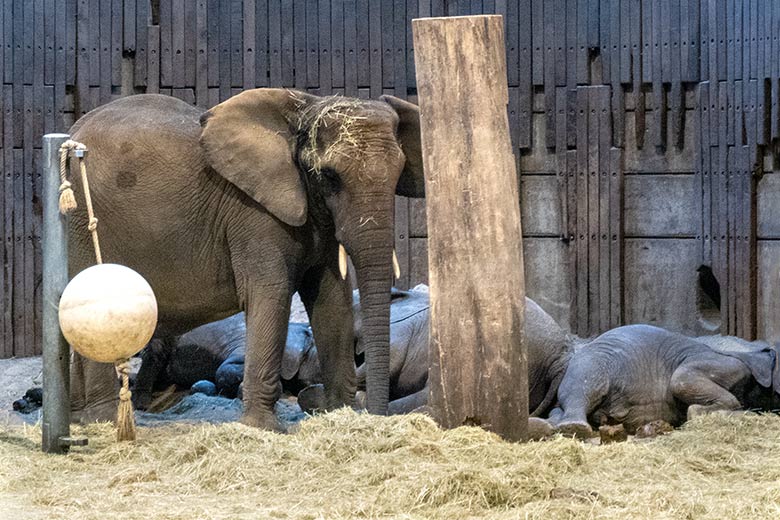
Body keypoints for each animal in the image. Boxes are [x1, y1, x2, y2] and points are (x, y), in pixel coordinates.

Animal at [65, 89, 426, 430]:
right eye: (329, 177)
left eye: (398, 174)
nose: (375, 414)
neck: (304, 109)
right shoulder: (253, 214)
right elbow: (271, 293)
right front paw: (264, 428)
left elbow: (331, 299)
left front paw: (341, 415)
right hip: (84, 216)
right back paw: (105, 420)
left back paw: (81, 418)